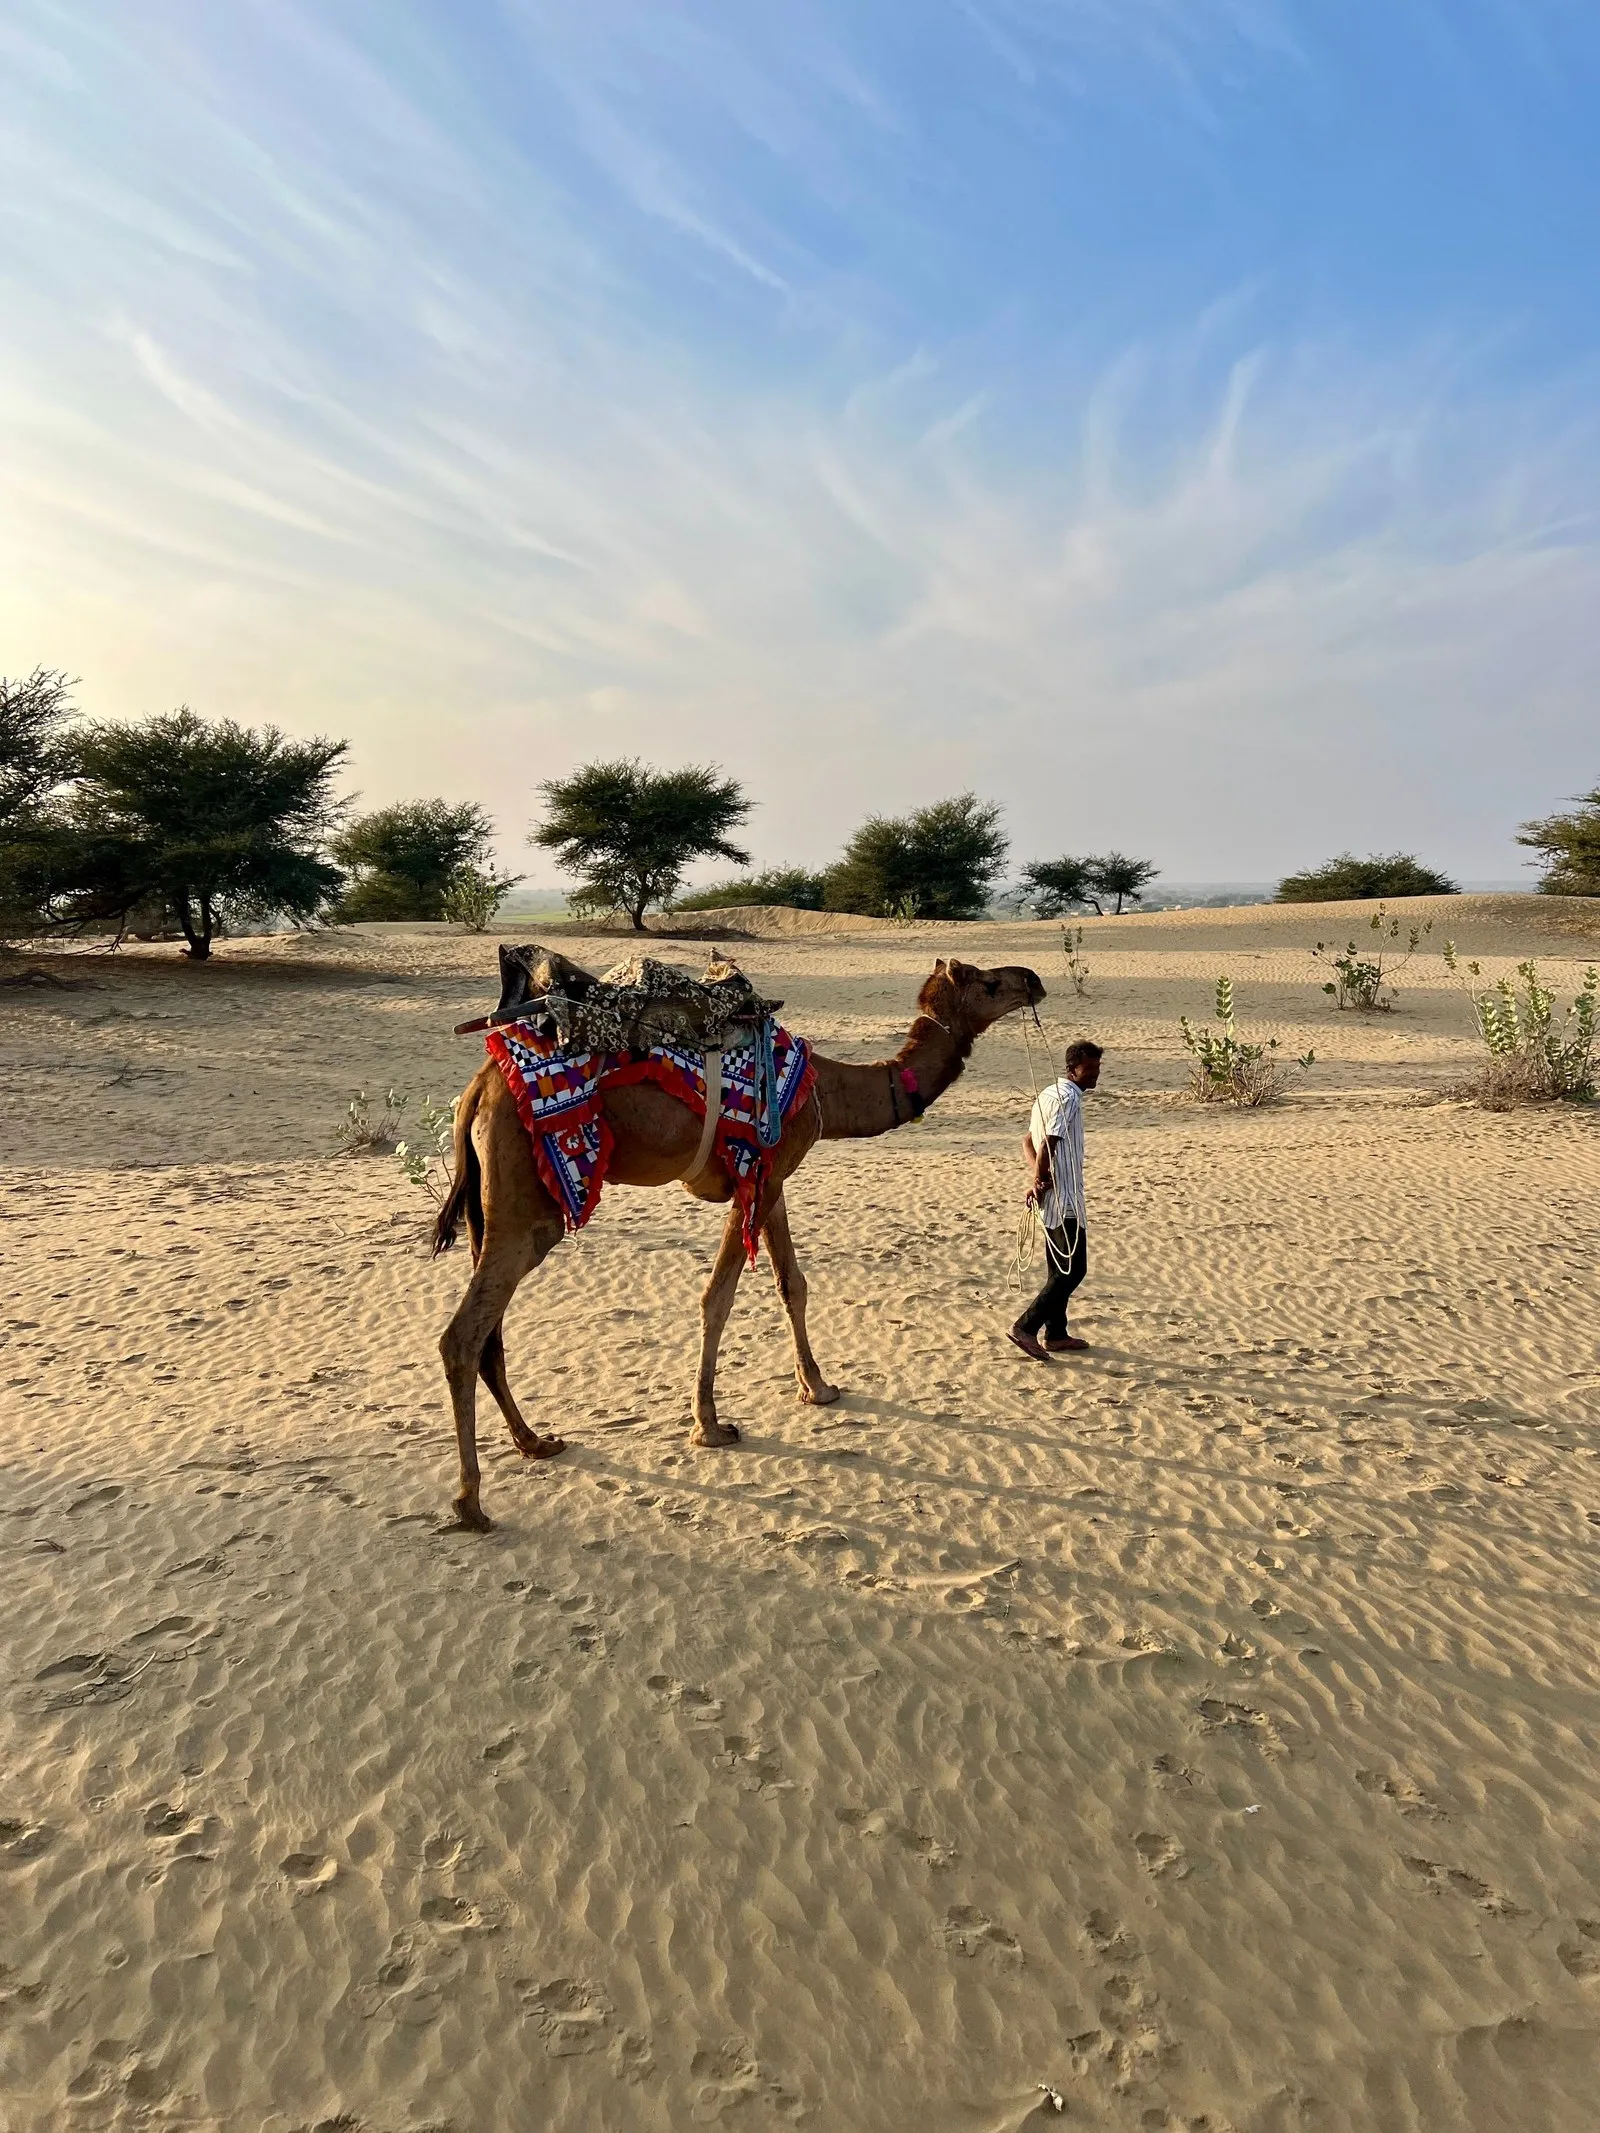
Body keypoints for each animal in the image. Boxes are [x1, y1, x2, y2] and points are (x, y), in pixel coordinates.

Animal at [433, 955, 1045, 1528]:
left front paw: (817, 1387)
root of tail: (475, 1091)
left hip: (489, 1209)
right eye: (989, 983)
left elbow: (791, 1283)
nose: (1034, 980)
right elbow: (719, 1298)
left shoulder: (774, 1178)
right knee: (463, 1336)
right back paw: (471, 1502)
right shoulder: (756, 1172)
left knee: (489, 1333)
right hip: (527, 1208)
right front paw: (709, 1424)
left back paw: (535, 1442)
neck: (827, 1091)